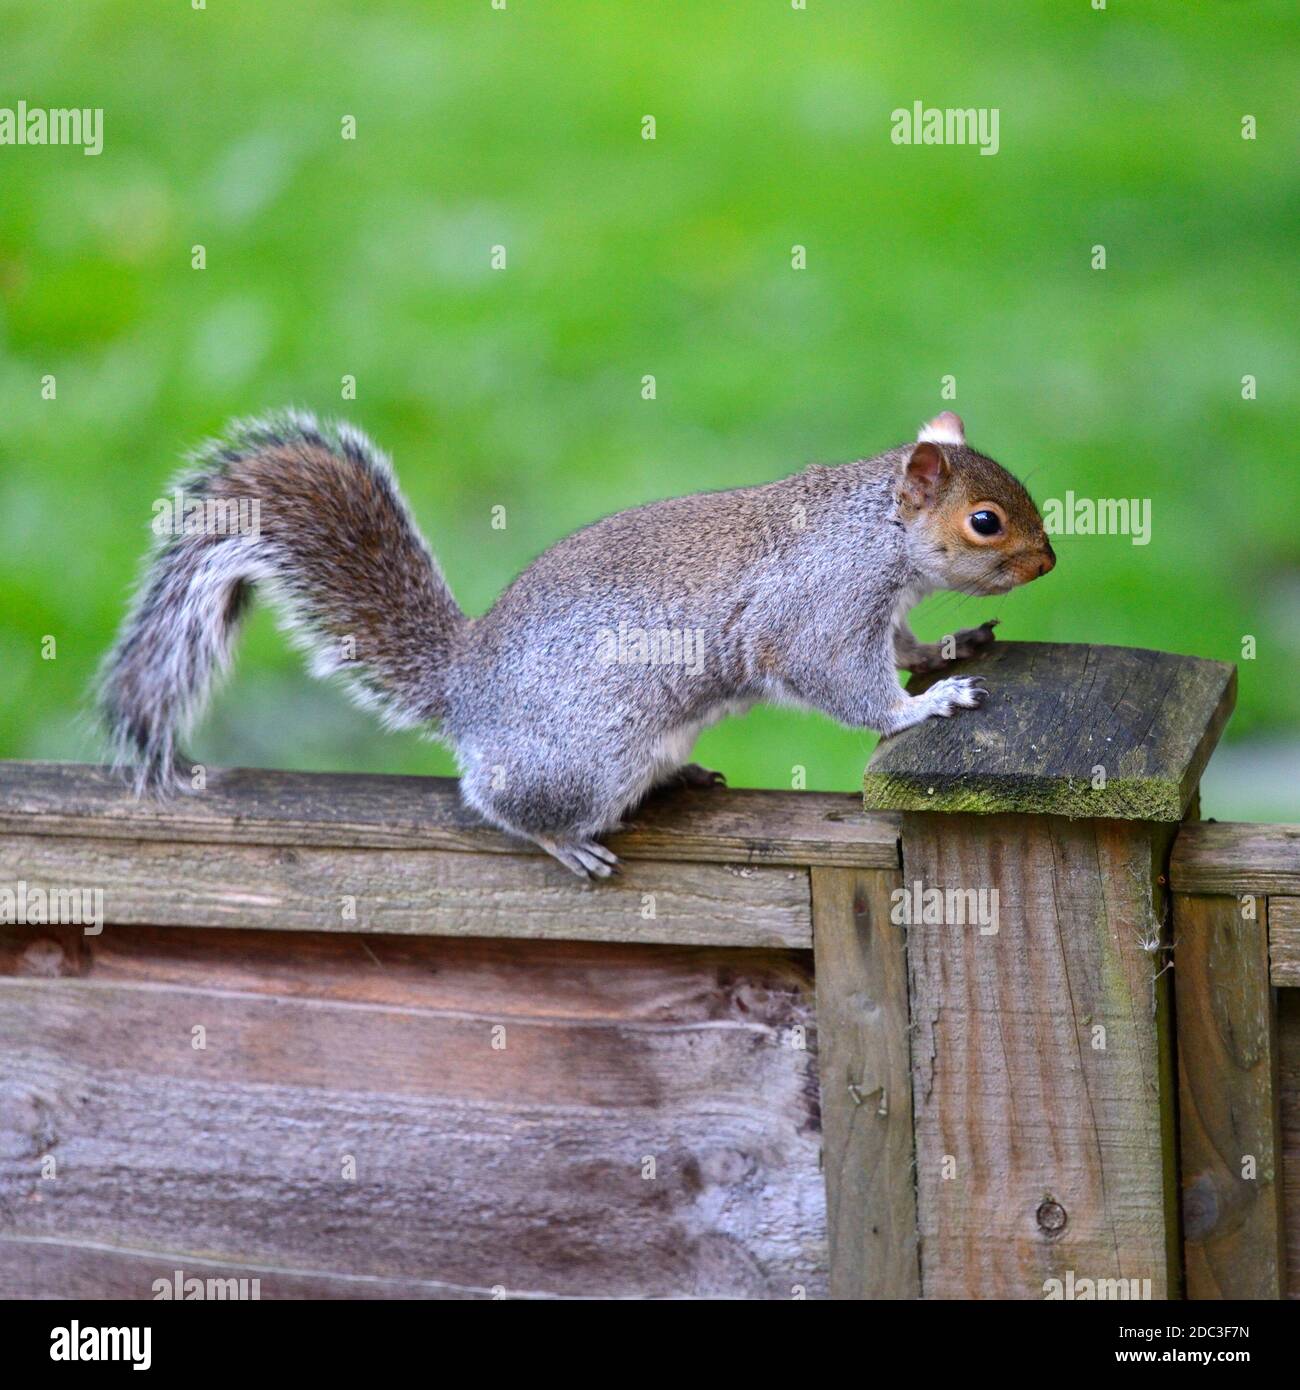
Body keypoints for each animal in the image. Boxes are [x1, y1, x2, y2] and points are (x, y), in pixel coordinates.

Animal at [98, 409, 1055, 878]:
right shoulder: (816, 608)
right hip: (583, 760)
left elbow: (904, 641)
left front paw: (946, 650)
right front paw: (923, 706)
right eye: (985, 521)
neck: (875, 531)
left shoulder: (878, 608)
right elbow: (840, 680)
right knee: (499, 804)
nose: (1047, 561)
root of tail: (465, 689)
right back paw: (565, 842)